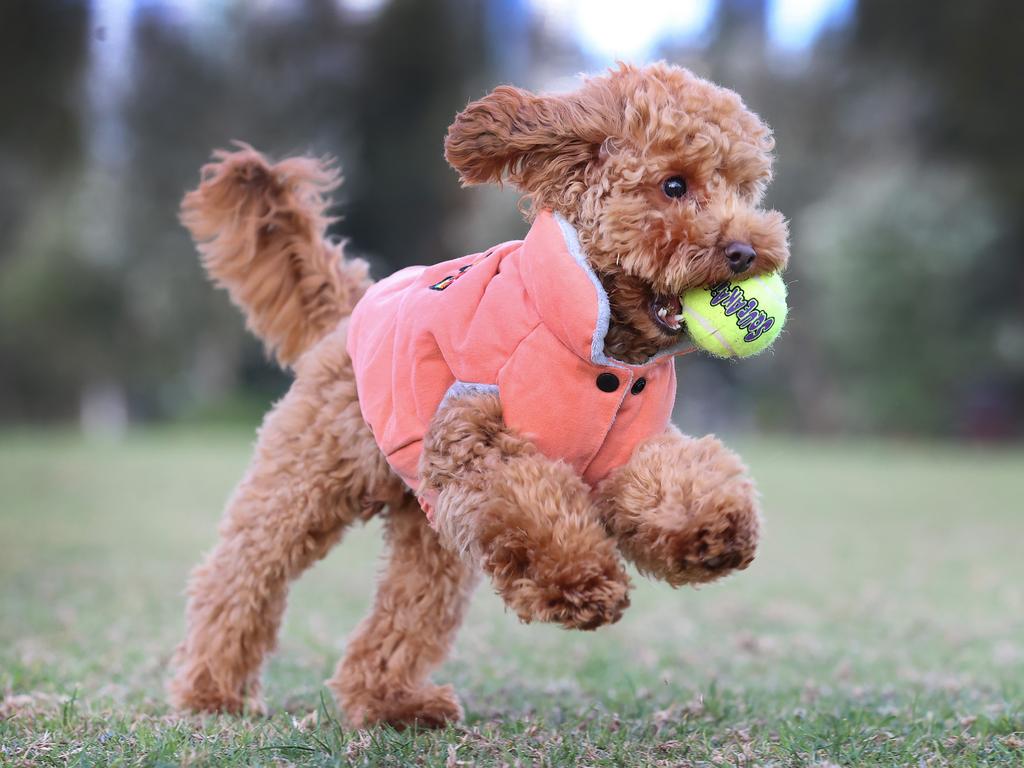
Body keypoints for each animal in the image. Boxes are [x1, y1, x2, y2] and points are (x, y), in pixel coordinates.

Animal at [169, 64, 790, 729]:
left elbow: (676, 479)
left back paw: (391, 701)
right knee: (243, 573)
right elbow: (535, 501)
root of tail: (350, 309)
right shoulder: (474, 440)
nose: (746, 253)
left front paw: (715, 531)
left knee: (411, 606)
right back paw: (213, 691)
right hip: (309, 475)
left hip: (426, 519)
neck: (598, 346)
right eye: (674, 185)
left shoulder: (621, 451)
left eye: (744, 189)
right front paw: (581, 582)